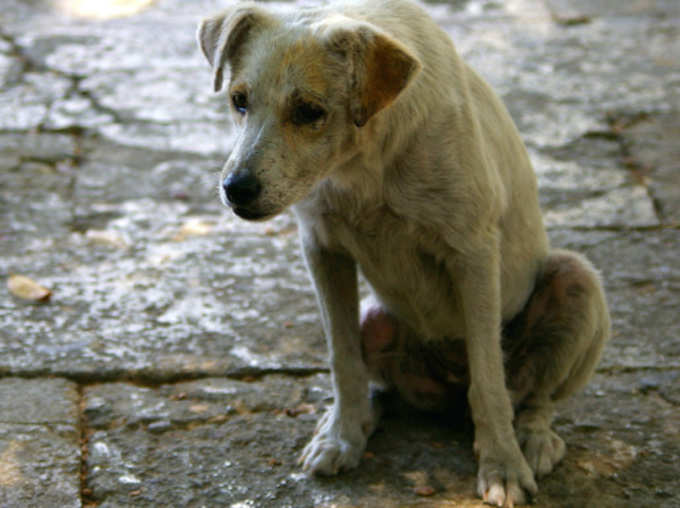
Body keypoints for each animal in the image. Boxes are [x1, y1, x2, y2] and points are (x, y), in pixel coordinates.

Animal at [197, 1, 612, 506]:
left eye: (309, 111)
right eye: (239, 100)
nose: (235, 190)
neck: (364, 162)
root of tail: (445, 389)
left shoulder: (473, 254)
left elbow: (488, 380)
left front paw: (502, 466)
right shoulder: (322, 248)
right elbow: (343, 358)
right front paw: (342, 436)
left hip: (577, 280)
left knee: (533, 397)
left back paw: (531, 439)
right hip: (376, 318)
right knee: (379, 378)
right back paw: (363, 418)